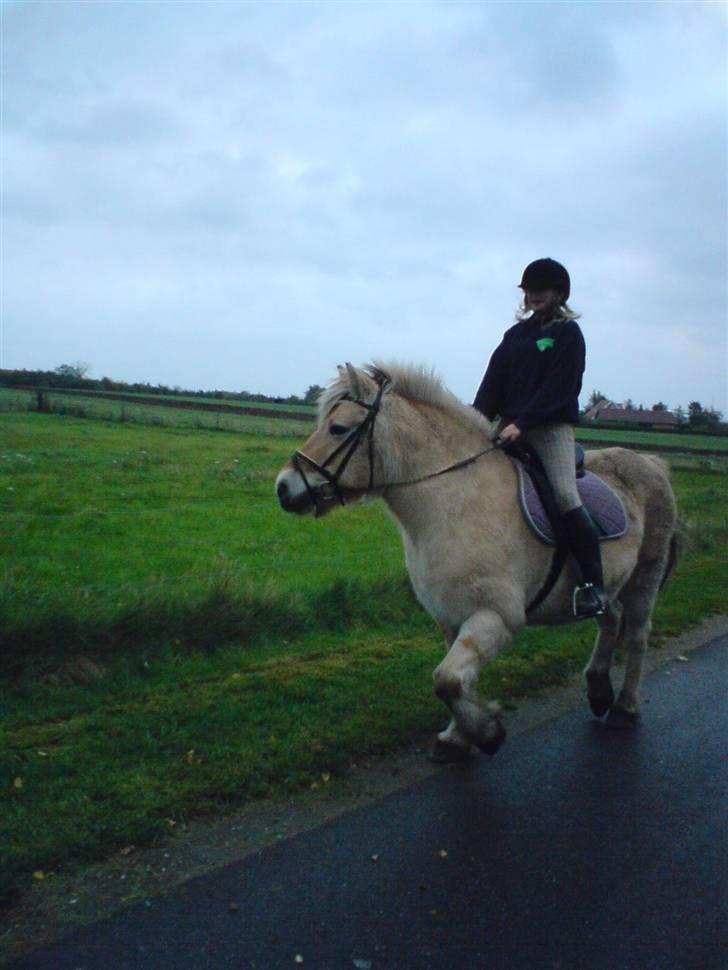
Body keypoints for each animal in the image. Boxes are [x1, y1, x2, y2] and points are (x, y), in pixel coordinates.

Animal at [276, 360, 680, 760]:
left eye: (338, 428)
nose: (283, 488)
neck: (456, 501)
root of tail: (649, 462)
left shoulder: (495, 617)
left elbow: (448, 680)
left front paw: (485, 732)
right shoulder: (452, 619)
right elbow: (454, 681)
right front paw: (458, 736)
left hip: (645, 576)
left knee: (637, 634)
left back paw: (624, 708)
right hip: (608, 584)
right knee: (610, 619)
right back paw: (597, 690)